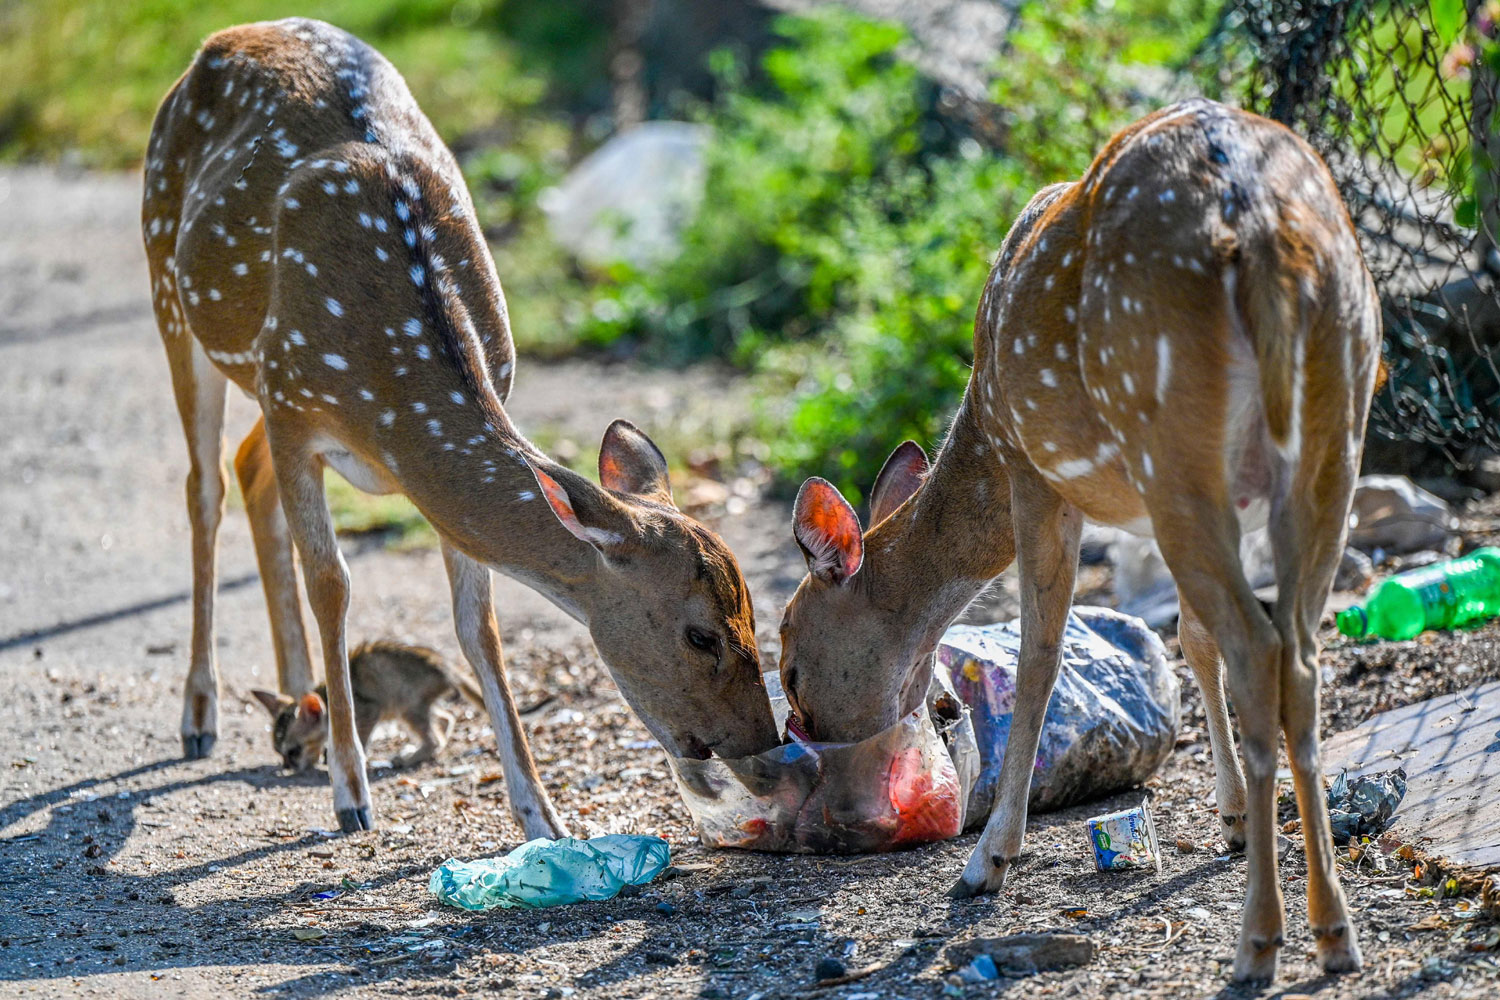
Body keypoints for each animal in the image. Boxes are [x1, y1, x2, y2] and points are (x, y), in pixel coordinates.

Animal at [141, 21, 780, 839]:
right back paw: (201, 714)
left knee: (245, 470)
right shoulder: (291, 399)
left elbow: (479, 624)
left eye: (753, 610)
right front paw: (352, 793)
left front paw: (542, 817)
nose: (765, 746)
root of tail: (221, 39)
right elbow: (332, 582)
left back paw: (296, 690)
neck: (387, 399)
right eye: (700, 633)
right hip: (171, 283)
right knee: (205, 485)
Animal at [780, 101, 1374, 983]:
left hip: (1170, 434)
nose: (801, 741)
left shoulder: (1036, 472)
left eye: (788, 654)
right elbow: (1189, 637)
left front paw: (988, 861)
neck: (981, 425)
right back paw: (1333, 930)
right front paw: (1232, 819)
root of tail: (1257, 230)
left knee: (1259, 647)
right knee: (1296, 652)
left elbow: (1040, 656)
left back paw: (1258, 943)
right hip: (1331, 433)